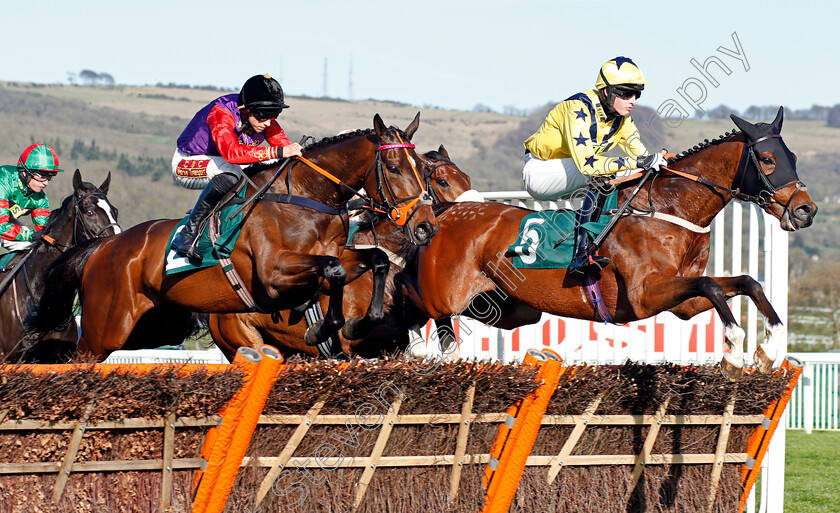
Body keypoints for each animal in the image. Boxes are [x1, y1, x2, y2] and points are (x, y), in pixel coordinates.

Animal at [27, 113, 440, 360]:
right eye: (393, 167)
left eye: (422, 168)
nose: (426, 225)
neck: (304, 197)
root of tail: (104, 246)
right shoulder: (274, 274)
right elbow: (334, 272)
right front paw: (323, 326)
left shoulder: (337, 256)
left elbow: (373, 260)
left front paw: (355, 321)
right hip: (104, 331)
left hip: (150, 327)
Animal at [398, 107, 816, 380]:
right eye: (767, 159)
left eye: (793, 156)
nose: (805, 210)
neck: (668, 208)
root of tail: (444, 212)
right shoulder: (645, 294)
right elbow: (712, 285)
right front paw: (734, 351)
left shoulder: (682, 303)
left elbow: (745, 282)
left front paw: (770, 349)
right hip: (445, 298)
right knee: (411, 296)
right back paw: (417, 344)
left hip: (507, 309)